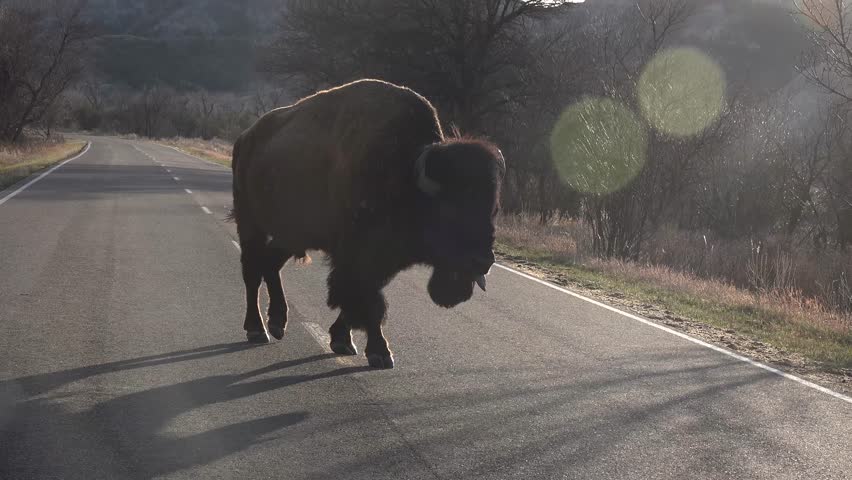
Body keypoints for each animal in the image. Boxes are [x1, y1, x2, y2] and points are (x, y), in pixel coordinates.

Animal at [231, 79, 505, 368]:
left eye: (494, 209)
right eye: (451, 209)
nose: (483, 261)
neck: (406, 173)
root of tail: (245, 138)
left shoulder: (380, 260)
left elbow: (358, 300)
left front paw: (343, 340)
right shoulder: (358, 256)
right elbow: (367, 301)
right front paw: (380, 352)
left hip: (292, 235)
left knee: (271, 265)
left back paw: (277, 322)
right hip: (250, 224)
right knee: (252, 272)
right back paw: (257, 329)